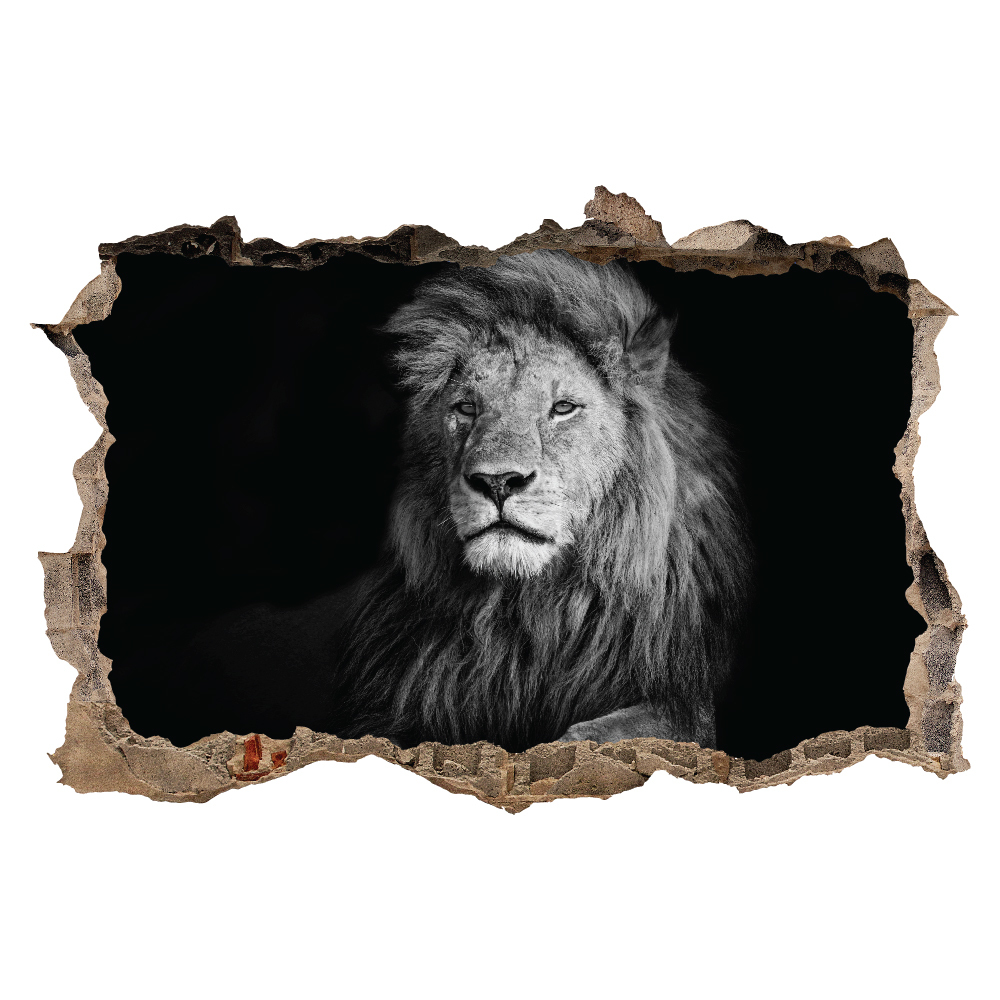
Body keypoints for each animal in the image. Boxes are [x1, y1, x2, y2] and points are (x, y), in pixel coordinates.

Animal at [319, 250, 751, 752]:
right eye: (466, 408)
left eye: (563, 408)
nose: (497, 481)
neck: (528, 615)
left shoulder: (686, 705)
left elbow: (597, 737)